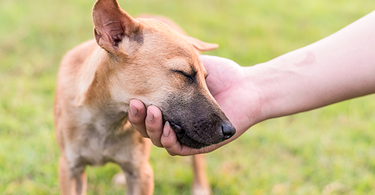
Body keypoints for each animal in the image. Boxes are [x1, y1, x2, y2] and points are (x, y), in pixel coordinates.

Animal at [53, 0, 235, 194]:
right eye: (183, 73)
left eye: (206, 78)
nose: (230, 130)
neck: (105, 121)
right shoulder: (70, 168)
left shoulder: (142, 173)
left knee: (198, 160)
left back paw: (200, 187)